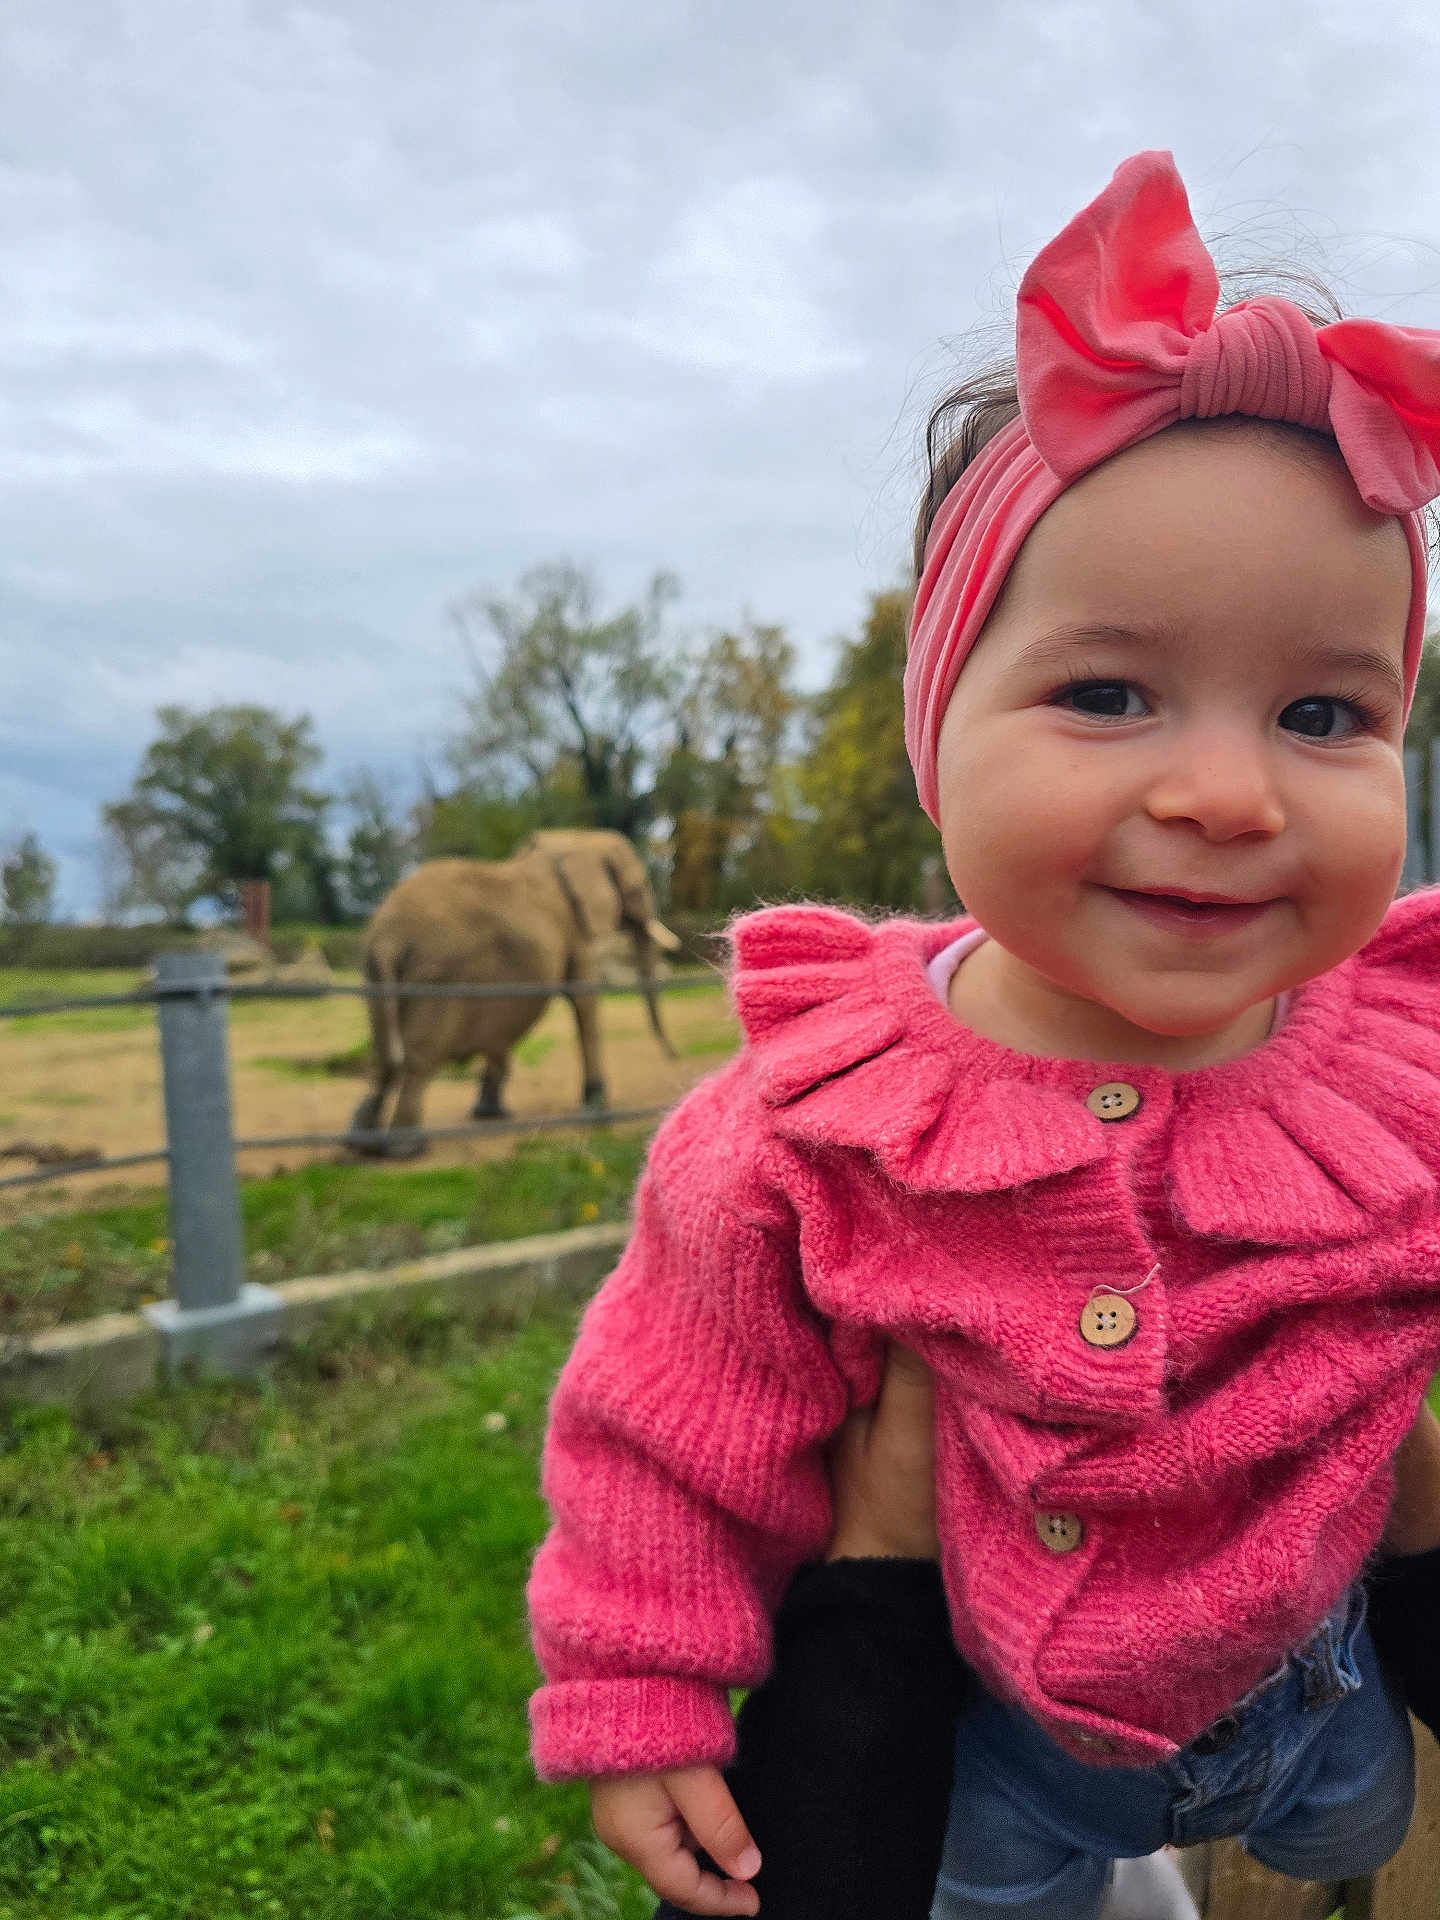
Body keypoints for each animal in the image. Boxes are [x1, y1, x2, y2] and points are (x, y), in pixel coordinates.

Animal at [347, 829, 683, 1157]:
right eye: (639, 887)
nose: (675, 1056)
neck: (575, 839)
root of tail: (387, 938)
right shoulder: (573, 926)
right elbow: (583, 998)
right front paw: (597, 1108)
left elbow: (502, 1028)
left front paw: (490, 1113)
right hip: (436, 976)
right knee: (419, 1058)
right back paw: (407, 1150)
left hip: (374, 973)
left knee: (383, 1055)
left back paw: (362, 1144)